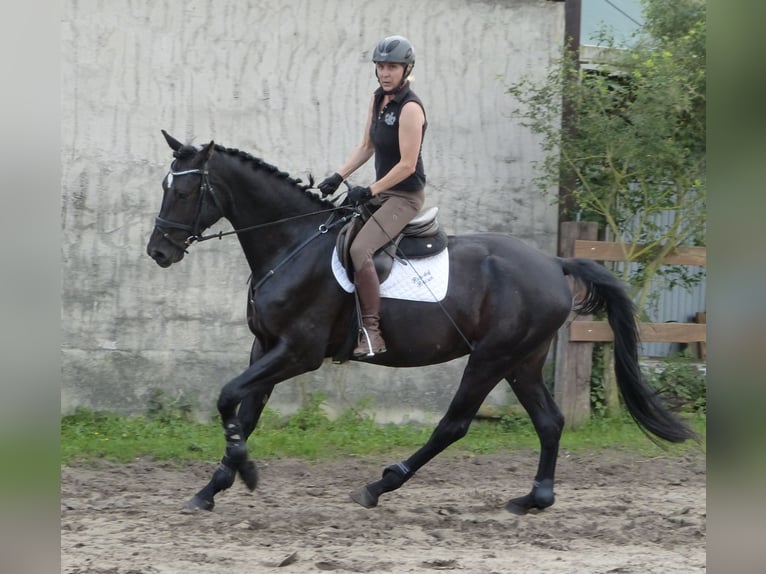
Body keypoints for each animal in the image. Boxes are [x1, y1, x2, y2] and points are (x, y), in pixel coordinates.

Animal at [144, 133, 696, 516]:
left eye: (187, 190)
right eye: (166, 186)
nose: (159, 251)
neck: (291, 244)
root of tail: (554, 263)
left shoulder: (298, 352)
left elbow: (227, 398)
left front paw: (247, 473)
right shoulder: (265, 347)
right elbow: (244, 411)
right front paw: (213, 488)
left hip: (491, 357)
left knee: (453, 424)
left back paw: (379, 485)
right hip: (523, 360)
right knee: (550, 421)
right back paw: (534, 498)